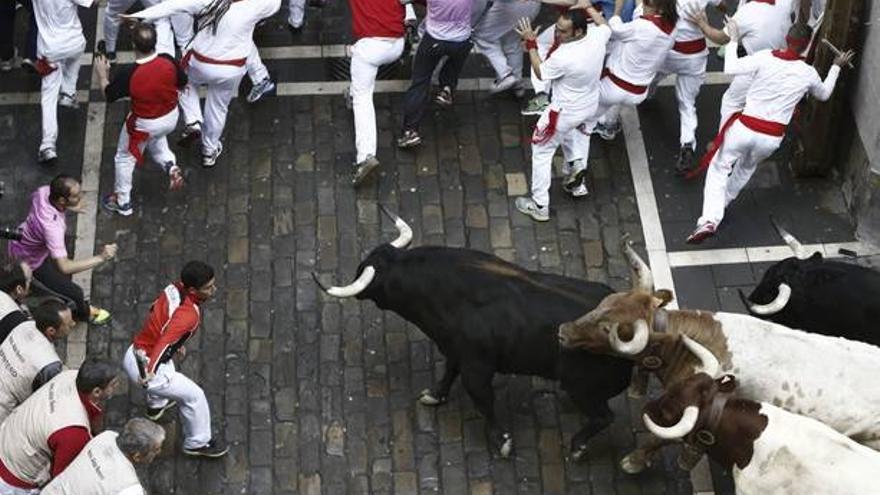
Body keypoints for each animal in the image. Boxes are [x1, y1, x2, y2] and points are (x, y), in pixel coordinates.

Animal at [316, 229, 632, 458]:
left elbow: (483, 400)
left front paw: (502, 441)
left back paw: (578, 446)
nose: (358, 284)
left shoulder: (476, 367)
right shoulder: (455, 350)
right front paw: (434, 395)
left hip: (583, 389)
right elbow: (448, 373)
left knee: (604, 417)